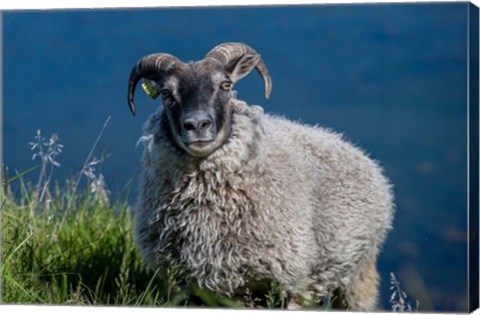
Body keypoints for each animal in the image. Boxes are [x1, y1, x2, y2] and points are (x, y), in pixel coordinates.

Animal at [127, 42, 394, 312]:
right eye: (165, 92)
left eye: (226, 85)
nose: (197, 125)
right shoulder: (195, 286)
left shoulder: (287, 280)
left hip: (357, 272)